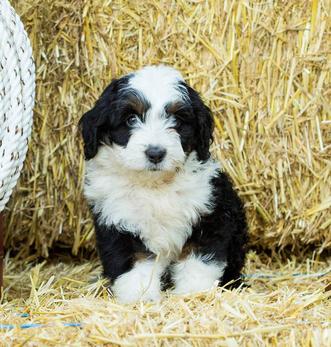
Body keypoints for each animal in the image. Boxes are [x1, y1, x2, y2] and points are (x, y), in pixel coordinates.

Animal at [79, 65, 248, 304]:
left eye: (176, 120)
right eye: (131, 119)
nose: (155, 153)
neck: (155, 187)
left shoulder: (210, 213)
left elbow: (198, 258)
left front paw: (193, 292)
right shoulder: (119, 222)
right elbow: (135, 263)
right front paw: (139, 296)